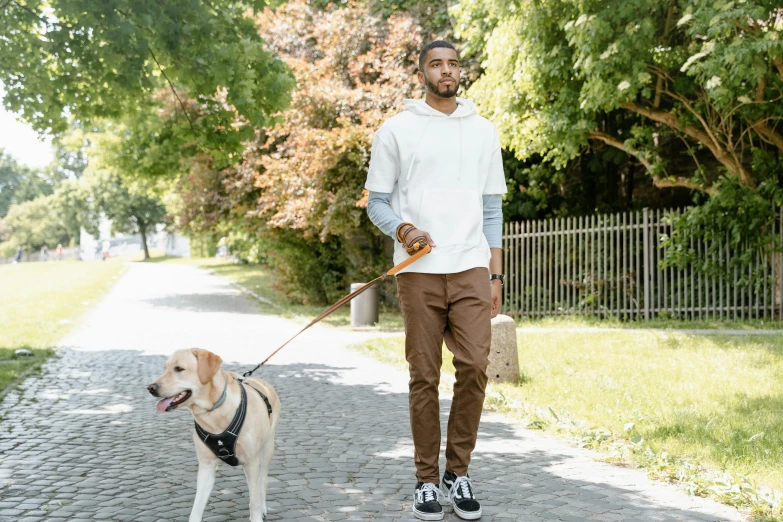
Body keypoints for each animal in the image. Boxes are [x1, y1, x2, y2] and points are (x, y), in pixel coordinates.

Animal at [148, 346, 282, 520]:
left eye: (178, 369)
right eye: (165, 368)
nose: (151, 388)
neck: (214, 411)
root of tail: (263, 382)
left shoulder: (252, 462)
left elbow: (254, 501)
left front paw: (257, 515)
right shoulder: (206, 466)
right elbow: (196, 508)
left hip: (266, 450)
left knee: (262, 482)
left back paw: (263, 507)